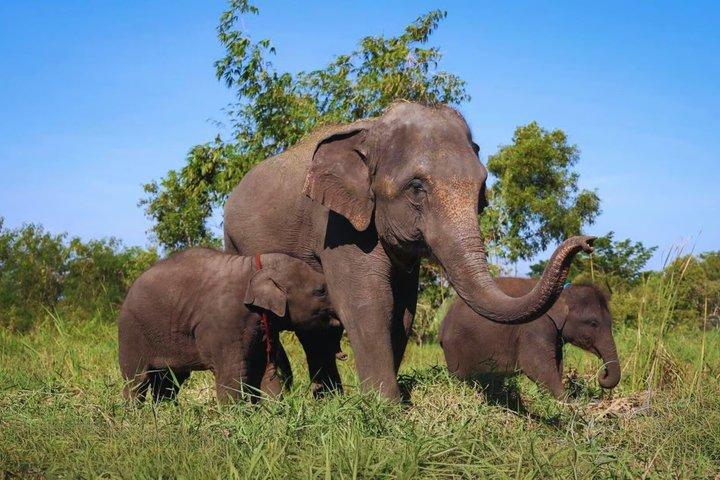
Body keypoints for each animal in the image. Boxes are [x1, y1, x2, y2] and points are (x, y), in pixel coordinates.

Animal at [118, 248, 337, 404]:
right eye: (321, 290)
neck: (253, 268)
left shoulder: (264, 326)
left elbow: (267, 370)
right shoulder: (225, 324)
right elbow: (233, 375)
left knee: (169, 383)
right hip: (131, 332)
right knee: (136, 382)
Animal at [223, 101, 595, 400]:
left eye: (481, 188)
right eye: (416, 188)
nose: (587, 242)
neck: (371, 130)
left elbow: (402, 309)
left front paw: (393, 402)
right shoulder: (337, 223)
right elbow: (368, 302)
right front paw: (386, 409)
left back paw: (325, 398)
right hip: (235, 241)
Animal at [439, 278, 621, 400]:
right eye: (593, 323)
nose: (602, 374)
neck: (563, 293)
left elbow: (557, 365)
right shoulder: (535, 326)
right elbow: (536, 366)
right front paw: (569, 405)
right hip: (455, 347)